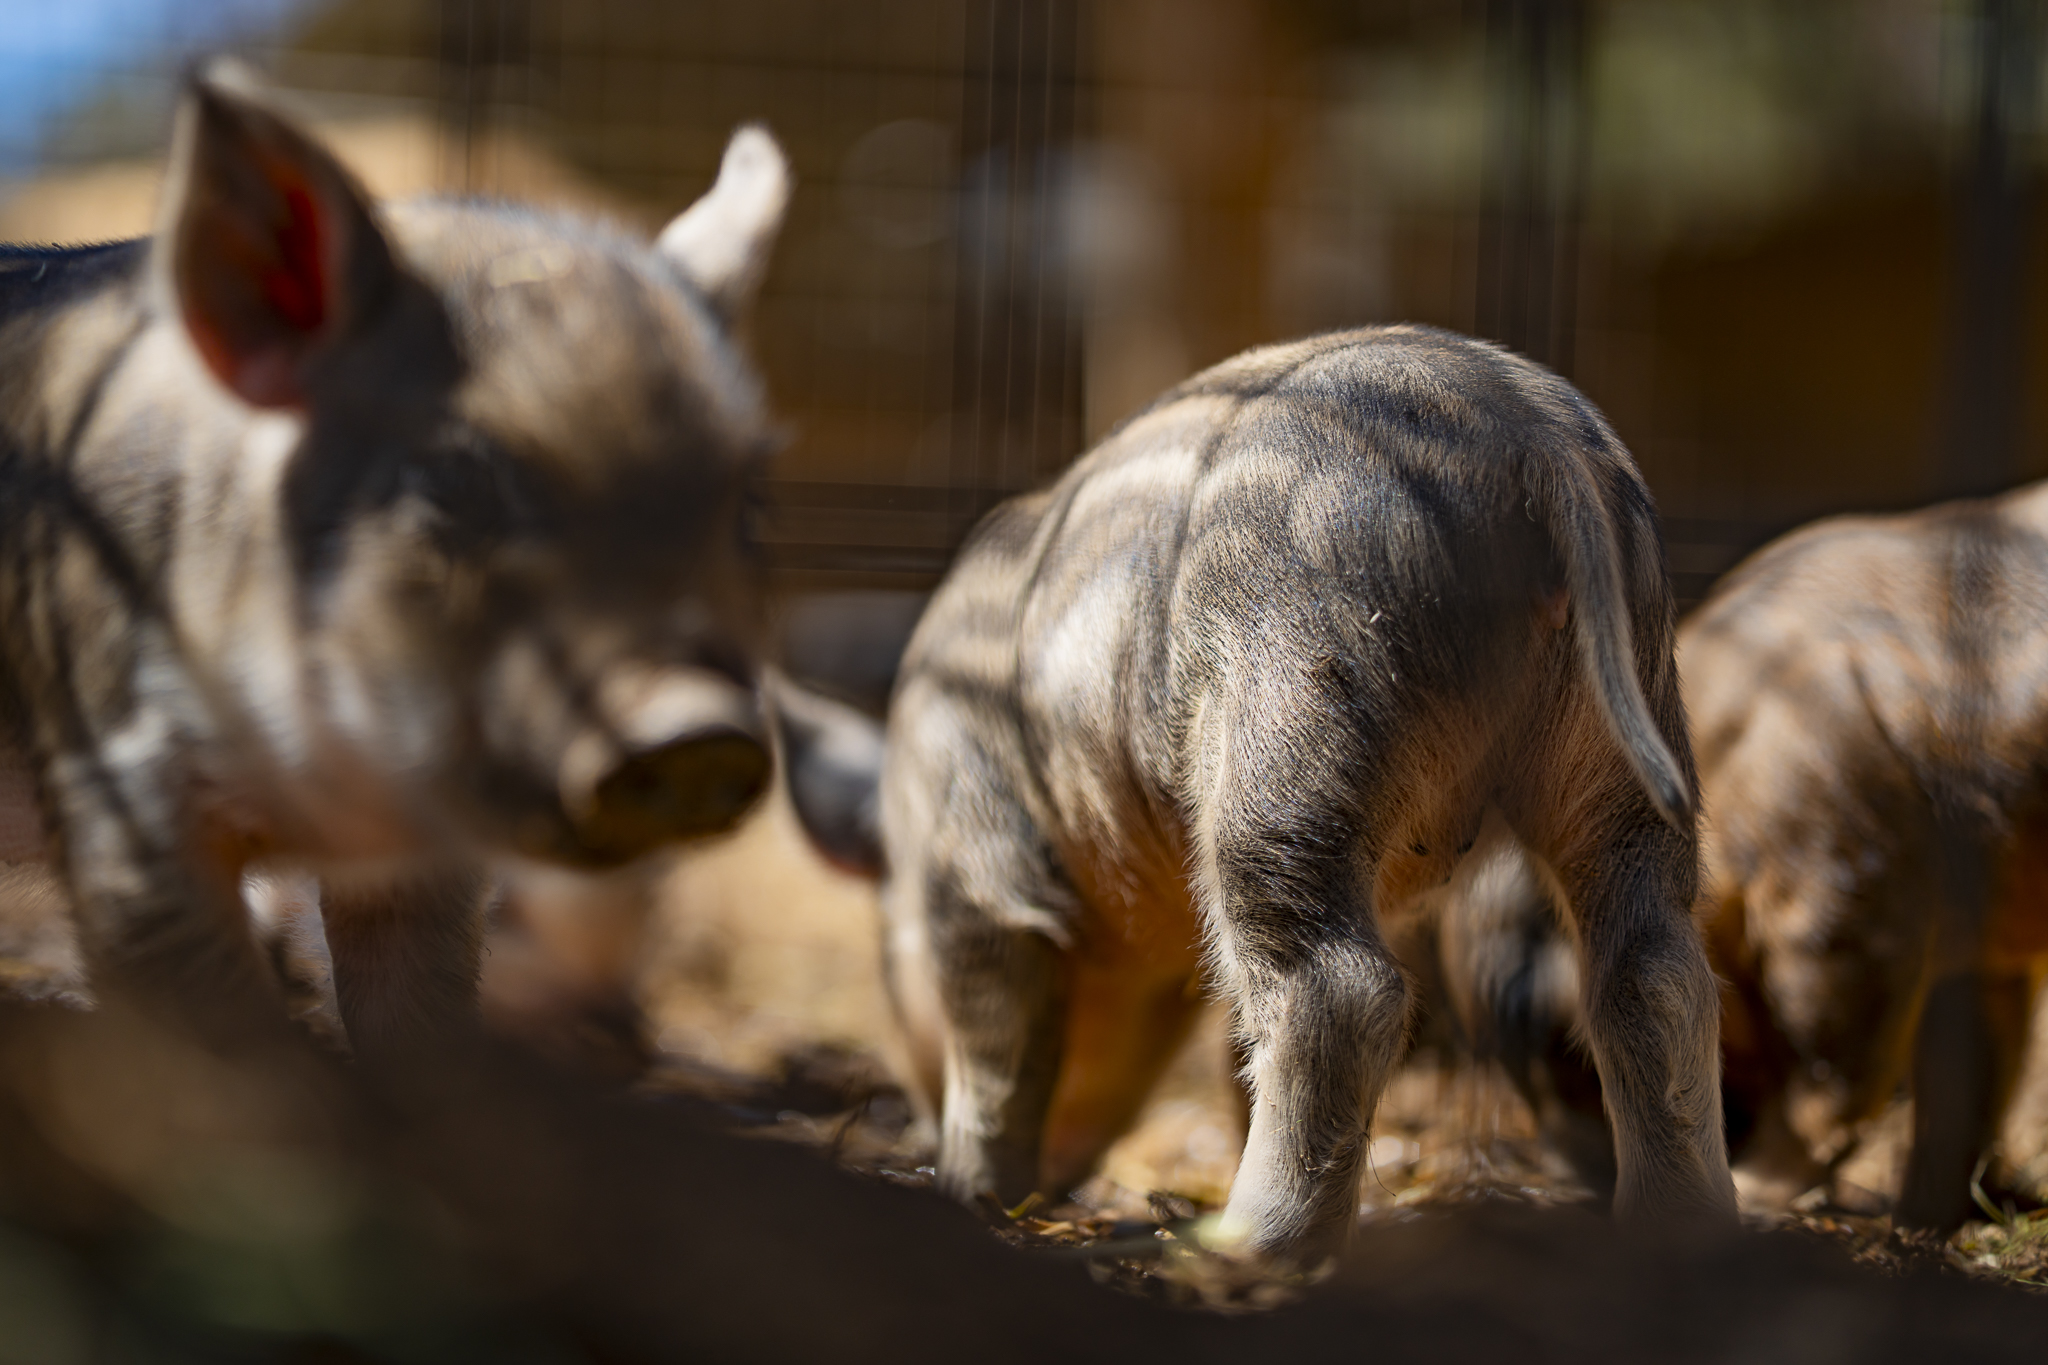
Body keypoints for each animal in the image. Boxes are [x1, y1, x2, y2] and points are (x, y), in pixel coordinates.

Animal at [779, 328, 1737, 1266]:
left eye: (887, 950)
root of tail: (1532, 442)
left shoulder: (977, 856)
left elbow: (995, 1034)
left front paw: (969, 1192)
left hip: (1285, 725)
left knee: (1338, 989)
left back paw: (1234, 1248)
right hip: (1628, 729)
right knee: (1650, 972)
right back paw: (1680, 1229)